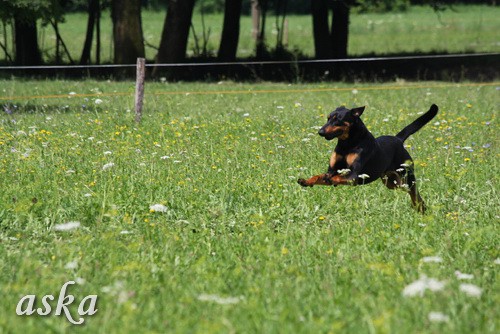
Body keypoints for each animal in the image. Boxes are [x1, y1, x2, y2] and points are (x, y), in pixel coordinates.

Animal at [298, 104, 440, 213]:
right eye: (327, 118)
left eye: (337, 119)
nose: (320, 132)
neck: (347, 144)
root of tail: (398, 139)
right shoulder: (331, 170)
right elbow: (319, 176)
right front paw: (306, 181)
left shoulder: (353, 176)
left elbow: (337, 177)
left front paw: (331, 180)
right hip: (392, 182)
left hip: (406, 177)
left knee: (416, 195)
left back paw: (422, 209)